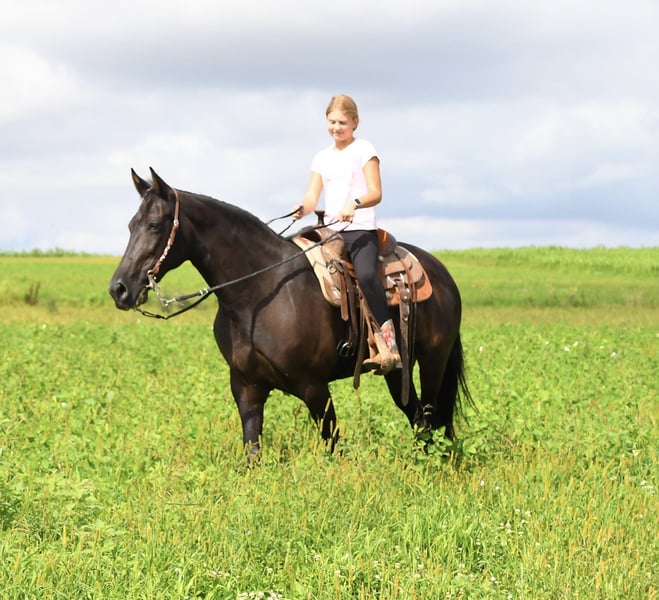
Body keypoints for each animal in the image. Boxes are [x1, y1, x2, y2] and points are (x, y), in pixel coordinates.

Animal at [109, 168, 471, 454]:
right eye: (130, 225)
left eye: (155, 225)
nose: (119, 289)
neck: (257, 294)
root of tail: (442, 274)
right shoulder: (246, 389)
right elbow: (252, 453)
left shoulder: (314, 388)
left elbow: (331, 445)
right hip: (398, 372)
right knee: (419, 416)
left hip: (433, 361)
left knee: (434, 417)